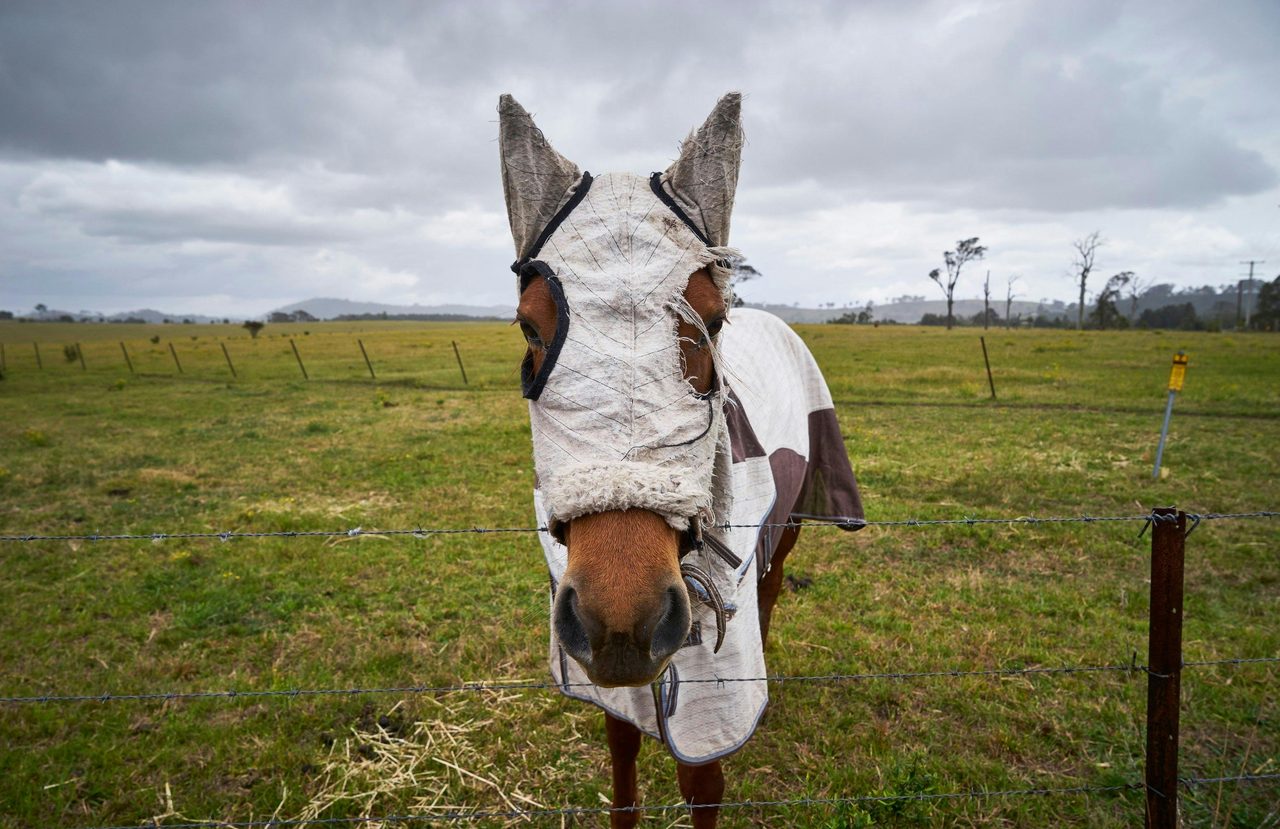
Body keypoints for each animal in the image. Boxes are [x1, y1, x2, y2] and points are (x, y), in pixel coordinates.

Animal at [498, 91, 864, 828]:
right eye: (528, 326)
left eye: (711, 322)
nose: (623, 618)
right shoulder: (615, 679)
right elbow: (622, 760)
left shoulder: (707, 699)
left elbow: (702, 783)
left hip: (789, 531)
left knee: (770, 590)